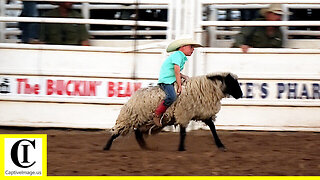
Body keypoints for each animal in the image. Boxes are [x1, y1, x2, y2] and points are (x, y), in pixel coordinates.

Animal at [103, 72, 242, 151]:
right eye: (231, 82)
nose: (241, 94)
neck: (206, 88)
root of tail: (132, 98)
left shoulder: (202, 113)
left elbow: (213, 128)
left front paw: (221, 145)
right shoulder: (184, 113)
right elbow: (183, 133)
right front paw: (181, 148)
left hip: (143, 120)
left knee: (137, 133)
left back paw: (144, 146)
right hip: (130, 118)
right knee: (117, 132)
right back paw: (106, 147)